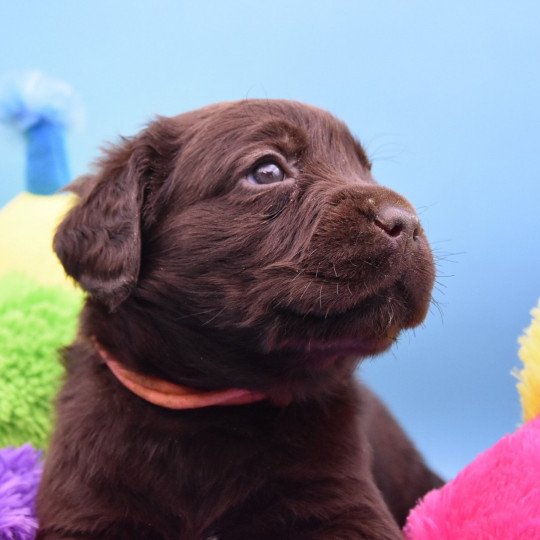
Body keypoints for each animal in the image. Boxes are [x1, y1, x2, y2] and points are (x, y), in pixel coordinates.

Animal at [37, 99, 442, 536]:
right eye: (267, 171)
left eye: (365, 170)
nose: (408, 223)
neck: (209, 403)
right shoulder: (84, 503)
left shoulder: (344, 502)